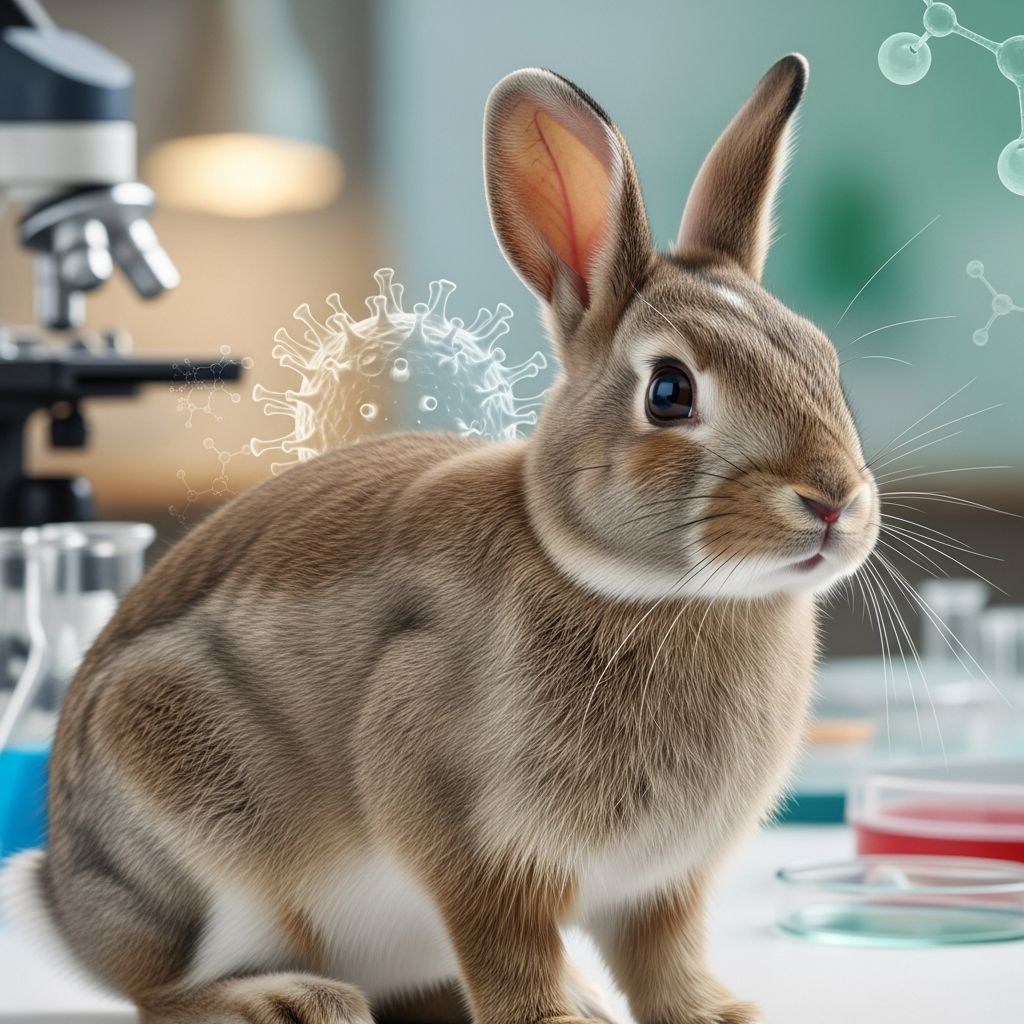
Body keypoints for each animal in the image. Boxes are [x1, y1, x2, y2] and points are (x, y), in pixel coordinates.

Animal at [2, 54, 880, 1024]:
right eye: (669, 392)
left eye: (822, 360)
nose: (834, 502)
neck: (649, 590)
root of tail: (65, 899)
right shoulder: (475, 846)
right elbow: (508, 949)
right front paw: (550, 1021)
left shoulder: (662, 884)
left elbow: (665, 960)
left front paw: (720, 1016)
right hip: (185, 839)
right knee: (158, 987)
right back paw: (290, 999)